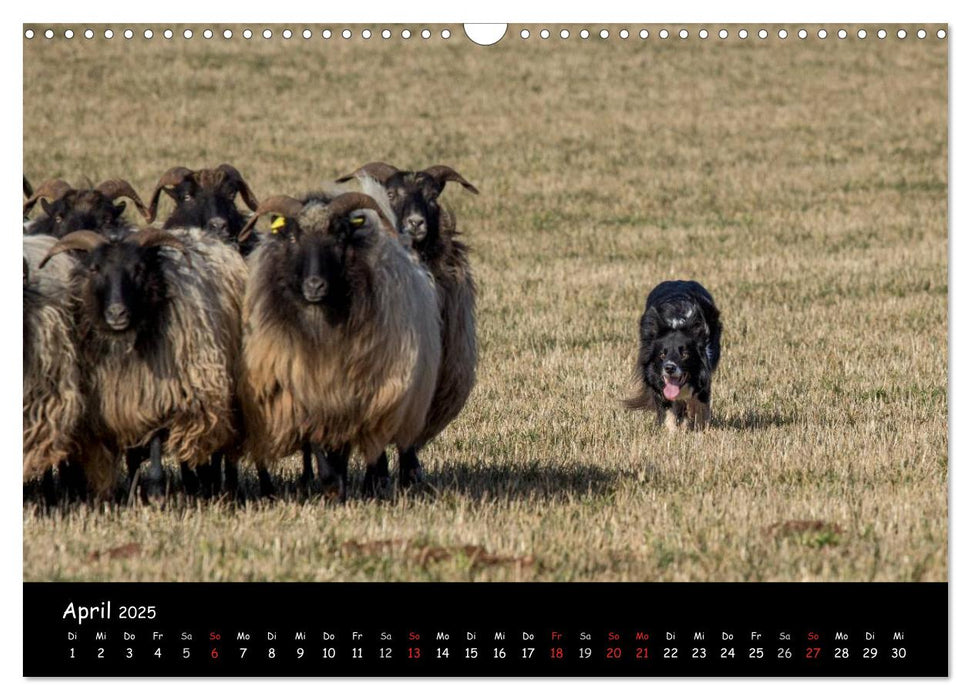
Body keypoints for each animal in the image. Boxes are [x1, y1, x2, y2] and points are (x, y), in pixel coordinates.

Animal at [41, 228, 245, 498]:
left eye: (139, 268)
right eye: (95, 269)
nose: (117, 313)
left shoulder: (159, 397)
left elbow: (156, 443)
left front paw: (156, 492)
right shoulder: (121, 401)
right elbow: (132, 456)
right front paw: (133, 493)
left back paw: (214, 486)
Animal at [237, 189, 442, 500]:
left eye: (339, 236)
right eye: (293, 237)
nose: (314, 286)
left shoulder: (353, 396)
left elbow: (344, 448)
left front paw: (340, 486)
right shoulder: (305, 394)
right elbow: (318, 444)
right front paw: (331, 486)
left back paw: (383, 481)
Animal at [632, 282, 720, 430]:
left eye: (685, 354)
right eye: (662, 354)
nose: (669, 368)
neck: (676, 323)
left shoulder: (704, 378)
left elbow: (700, 406)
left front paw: (700, 428)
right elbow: (669, 412)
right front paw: (672, 432)